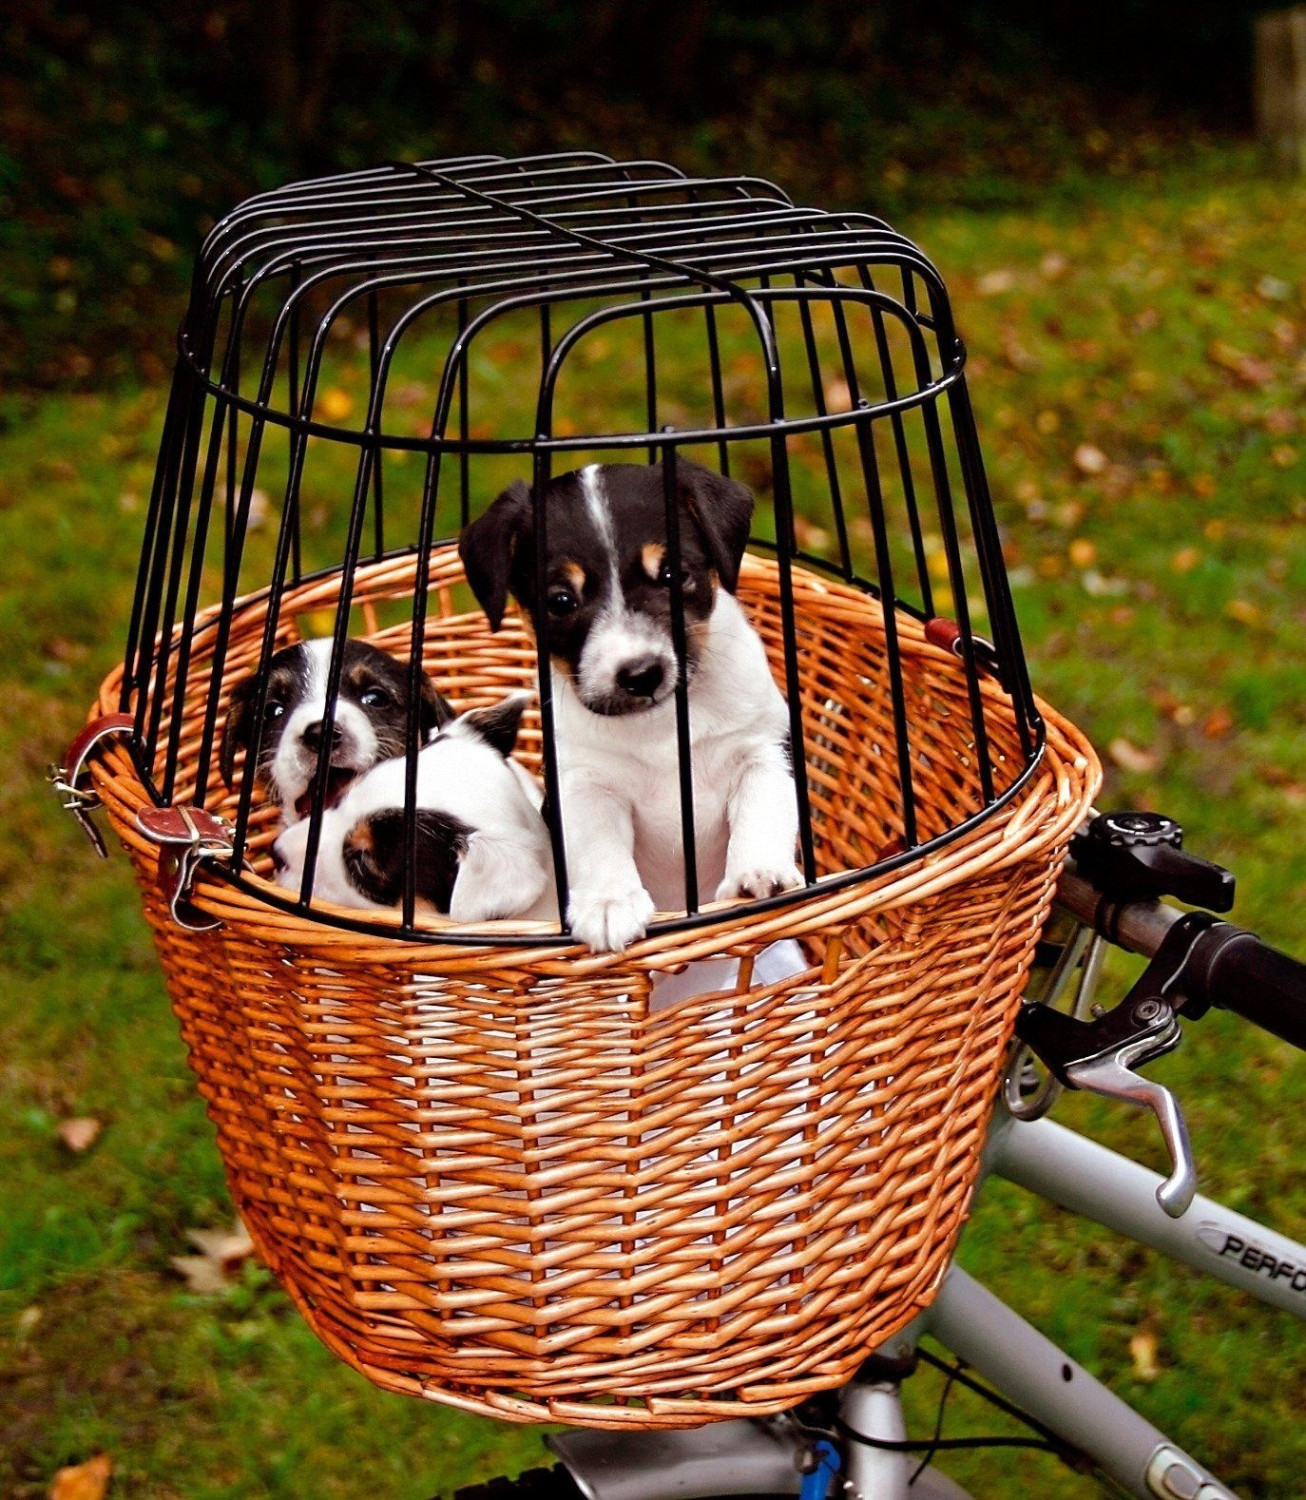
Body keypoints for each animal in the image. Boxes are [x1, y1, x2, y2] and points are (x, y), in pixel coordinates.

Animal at [458, 456, 809, 948]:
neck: (661, 726)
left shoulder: (765, 749)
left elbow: (764, 810)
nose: (642, 675)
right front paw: (610, 903)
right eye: (560, 601)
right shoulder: (584, 784)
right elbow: (600, 846)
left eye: (673, 575)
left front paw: (759, 874)